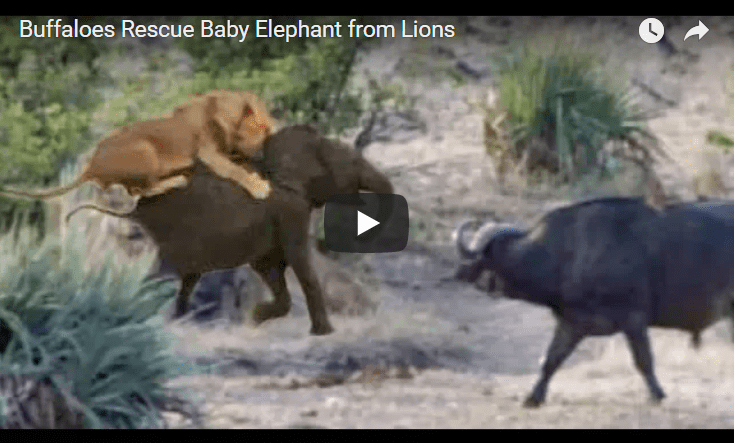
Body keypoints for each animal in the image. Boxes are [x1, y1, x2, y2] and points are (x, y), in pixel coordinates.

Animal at [454, 197, 733, 407]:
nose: (460, 273)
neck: (566, 253)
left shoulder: (633, 319)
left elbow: (643, 360)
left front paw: (657, 395)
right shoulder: (571, 323)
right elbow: (550, 359)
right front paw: (533, 397)